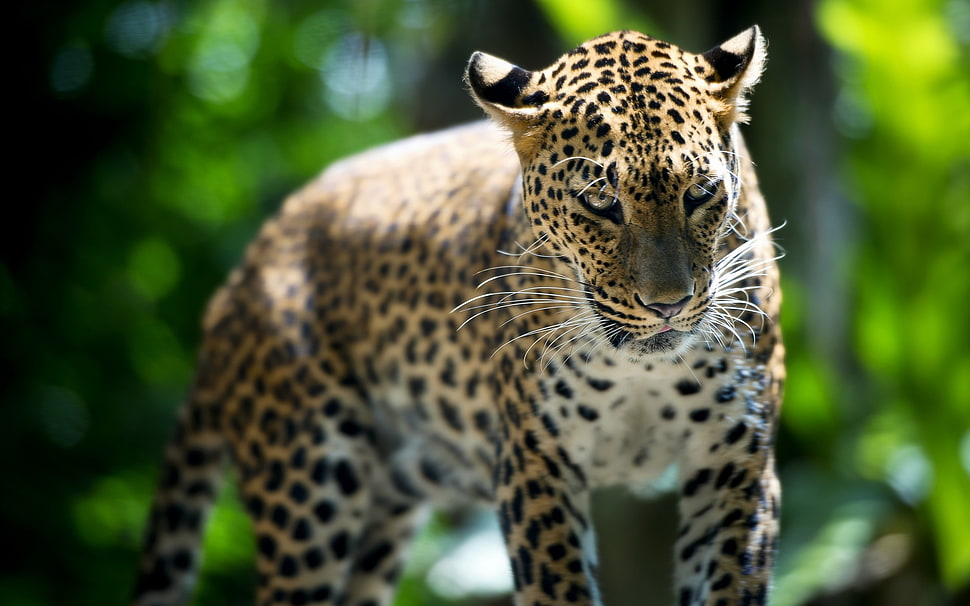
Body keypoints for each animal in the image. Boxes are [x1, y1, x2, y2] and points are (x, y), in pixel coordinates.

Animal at [133, 26, 784, 606]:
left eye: (701, 194)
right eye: (600, 202)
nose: (668, 303)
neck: (642, 368)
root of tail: (235, 284)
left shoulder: (737, 459)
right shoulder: (534, 460)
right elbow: (558, 588)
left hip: (381, 516)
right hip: (308, 489)